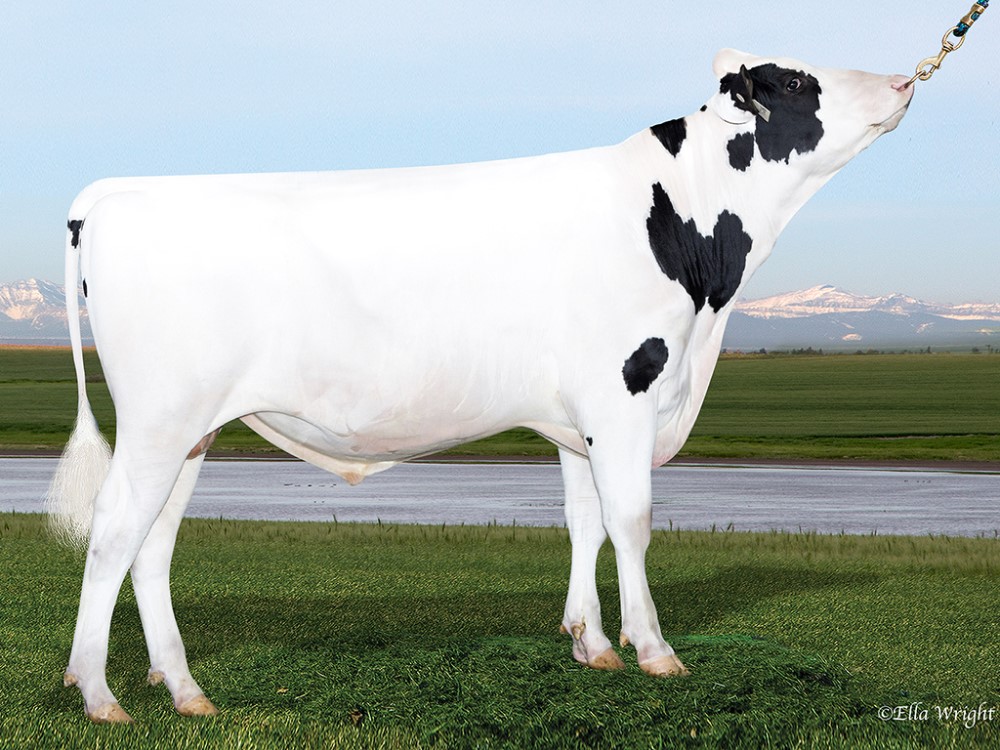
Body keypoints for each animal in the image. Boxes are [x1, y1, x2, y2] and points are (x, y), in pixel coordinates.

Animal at [48, 49, 913, 722]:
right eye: (796, 81)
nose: (906, 79)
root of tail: (115, 194)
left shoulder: (579, 416)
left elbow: (584, 521)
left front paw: (591, 644)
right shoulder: (626, 392)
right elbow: (631, 521)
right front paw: (654, 650)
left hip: (190, 428)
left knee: (154, 543)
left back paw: (185, 690)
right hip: (160, 419)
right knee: (115, 528)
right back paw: (97, 692)